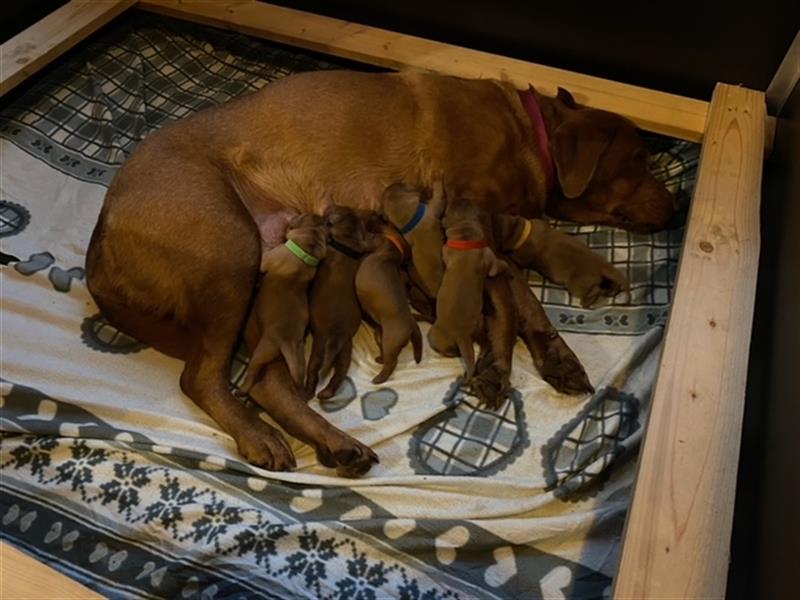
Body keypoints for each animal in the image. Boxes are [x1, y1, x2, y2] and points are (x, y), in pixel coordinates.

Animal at [239, 214, 326, 394]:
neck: (305, 253)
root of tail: (286, 341)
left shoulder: (267, 260)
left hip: (262, 351)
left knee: (252, 372)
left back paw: (242, 390)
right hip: (299, 359)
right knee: (298, 376)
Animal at [308, 205, 380, 398]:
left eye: (335, 208)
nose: (328, 206)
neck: (346, 240)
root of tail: (335, 336)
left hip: (322, 348)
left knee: (316, 372)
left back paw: (311, 392)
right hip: (343, 349)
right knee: (337, 374)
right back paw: (324, 393)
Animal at [354, 223, 422, 382]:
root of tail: (411, 323)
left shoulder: (371, 242)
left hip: (390, 341)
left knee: (392, 362)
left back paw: (379, 378)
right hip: (382, 337)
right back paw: (380, 360)